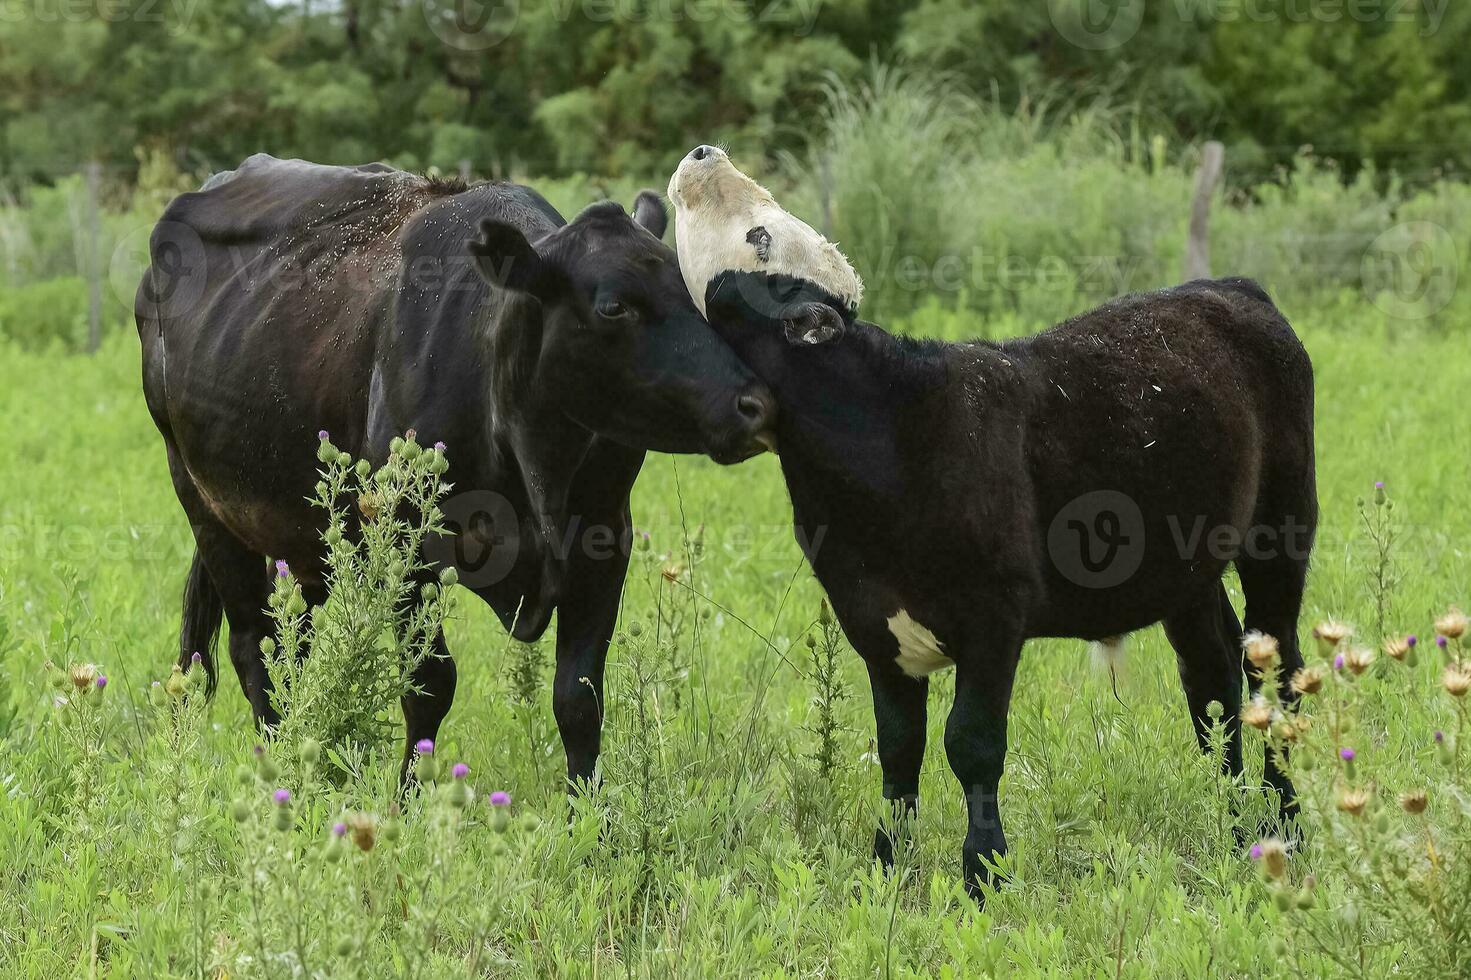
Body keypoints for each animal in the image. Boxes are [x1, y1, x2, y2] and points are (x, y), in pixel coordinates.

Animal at [141, 153, 776, 776]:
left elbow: (579, 696)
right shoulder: (402, 541)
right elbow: (428, 684)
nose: (754, 404)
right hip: (201, 498)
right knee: (256, 649)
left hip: (298, 537)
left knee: (291, 644)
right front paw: (408, 794)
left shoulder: (604, 536)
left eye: (692, 294)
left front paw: (589, 808)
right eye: (613, 306)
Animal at [673, 144, 1318, 900]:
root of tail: (1227, 286)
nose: (703, 151)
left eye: (761, 237)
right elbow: (899, 748)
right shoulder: (872, 622)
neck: (885, 428)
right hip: (1185, 564)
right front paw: (888, 869)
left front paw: (984, 872)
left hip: (1281, 529)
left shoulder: (993, 615)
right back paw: (1238, 824)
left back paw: (1284, 822)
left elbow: (971, 742)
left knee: (1274, 671)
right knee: (1211, 682)